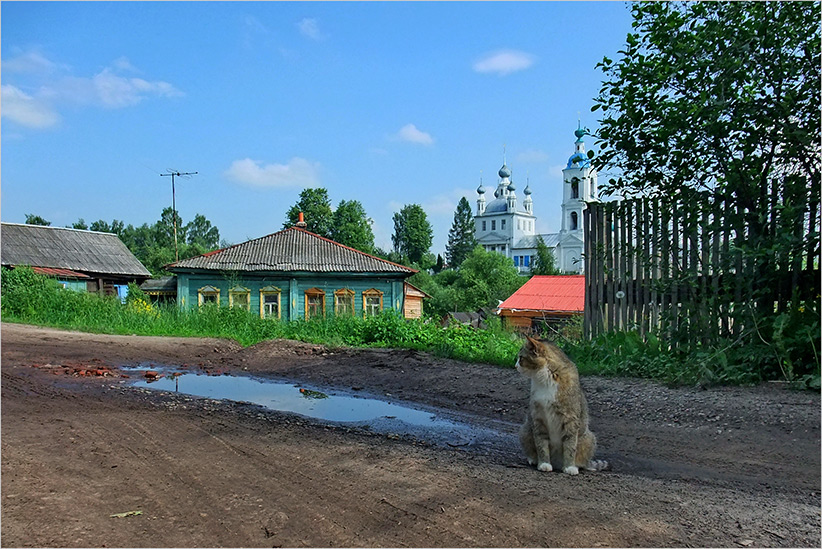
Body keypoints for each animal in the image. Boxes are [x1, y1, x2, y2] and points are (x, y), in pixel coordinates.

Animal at [520, 332, 608, 474]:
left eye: (521, 358)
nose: (515, 365)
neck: (546, 377)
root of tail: (556, 463)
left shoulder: (570, 418)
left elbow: (570, 446)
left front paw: (569, 467)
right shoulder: (538, 418)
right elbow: (541, 445)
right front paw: (544, 463)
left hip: (589, 438)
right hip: (525, 431)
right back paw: (533, 459)